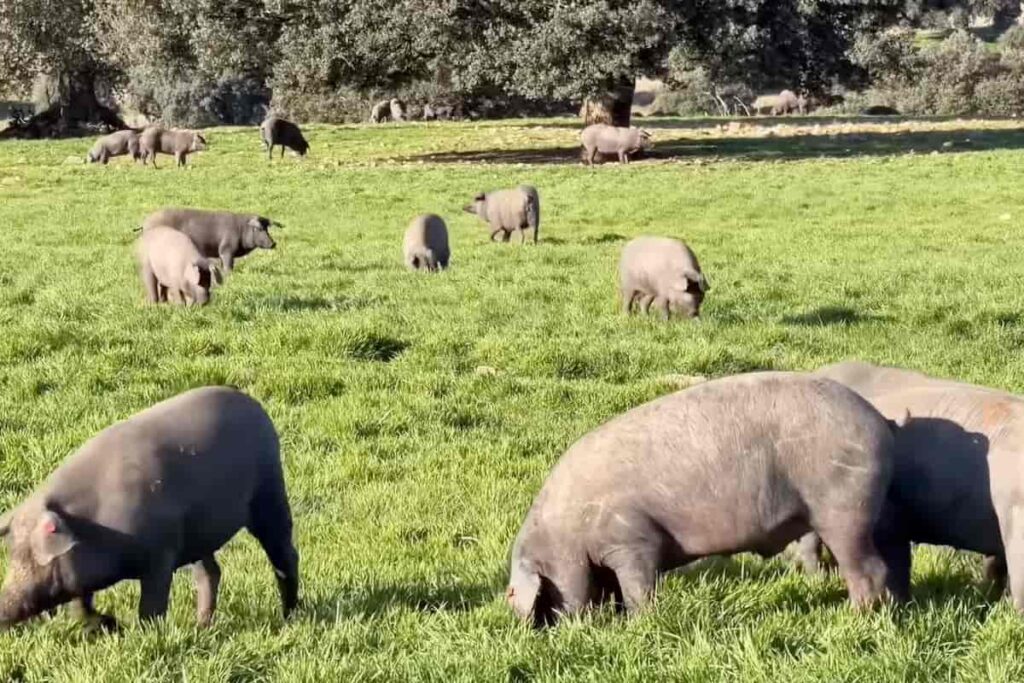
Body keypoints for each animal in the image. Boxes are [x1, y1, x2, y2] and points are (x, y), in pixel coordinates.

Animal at [0, 387, 299, 630]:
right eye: (12, 552)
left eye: (29, 558)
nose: (3, 608)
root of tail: (256, 406)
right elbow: (80, 607)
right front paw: (110, 624)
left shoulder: (160, 555)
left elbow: (151, 607)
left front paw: (142, 632)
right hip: (198, 534)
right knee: (210, 572)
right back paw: (201, 626)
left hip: (269, 492)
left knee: (284, 554)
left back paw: (289, 616)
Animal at [141, 208, 279, 272]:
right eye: (259, 228)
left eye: (267, 228)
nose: (273, 243)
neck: (241, 230)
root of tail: (145, 223)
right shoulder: (226, 249)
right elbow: (228, 266)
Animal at [507, 372, 897, 627]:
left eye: (544, 591)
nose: (551, 631)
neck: (566, 531)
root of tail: (881, 421)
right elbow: (616, 591)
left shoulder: (632, 541)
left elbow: (637, 588)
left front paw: (640, 623)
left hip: (845, 509)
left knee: (868, 568)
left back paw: (855, 618)